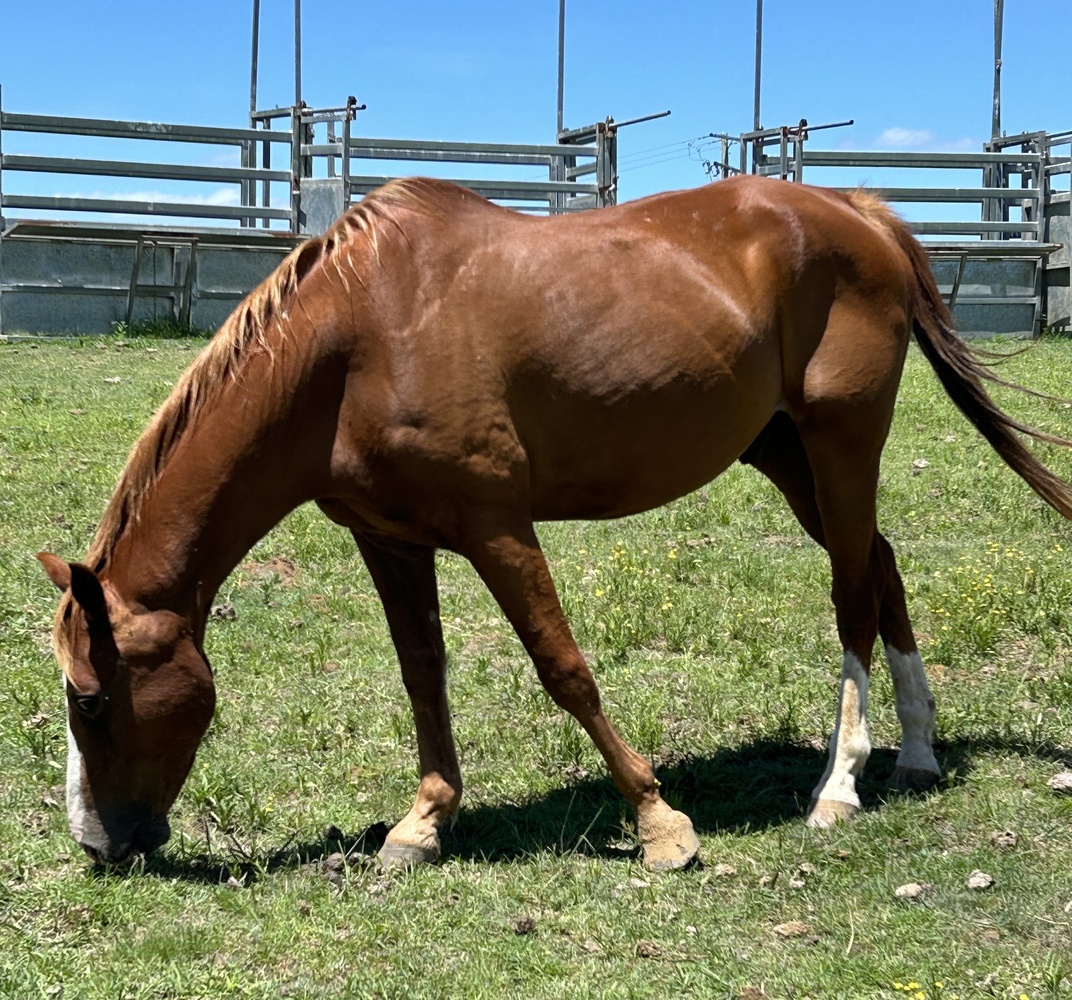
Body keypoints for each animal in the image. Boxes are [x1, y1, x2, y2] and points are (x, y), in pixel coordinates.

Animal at [38, 175, 1072, 870]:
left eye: (91, 700)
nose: (96, 845)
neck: (358, 338)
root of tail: (857, 210)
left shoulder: (496, 523)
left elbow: (563, 668)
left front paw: (661, 825)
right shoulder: (390, 538)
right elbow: (423, 677)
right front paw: (425, 822)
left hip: (842, 441)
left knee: (853, 590)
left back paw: (840, 784)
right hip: (785, 454)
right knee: (882, 566)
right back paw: (919, 754)